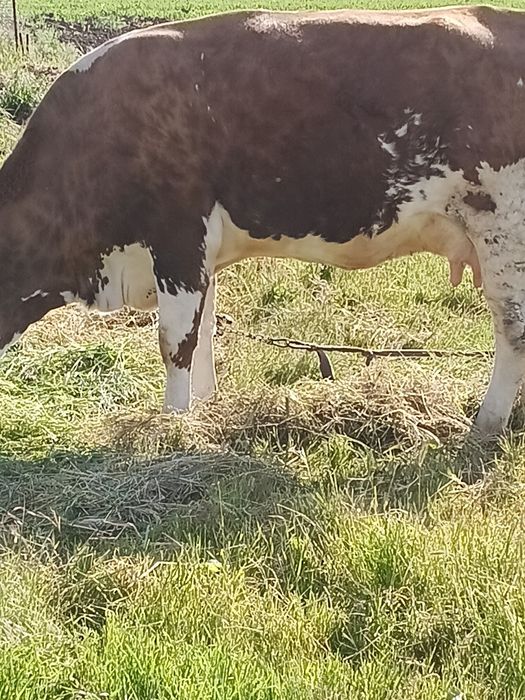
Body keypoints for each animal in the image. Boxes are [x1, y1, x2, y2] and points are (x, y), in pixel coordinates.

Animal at [1, 5, 524, 435]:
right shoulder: (199, 256)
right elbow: (204, 333)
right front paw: (203, 411)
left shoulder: (177, 238)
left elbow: (176, 343)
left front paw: (173, 427)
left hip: (503, 233)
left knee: (512, 332)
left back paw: (485, 427)